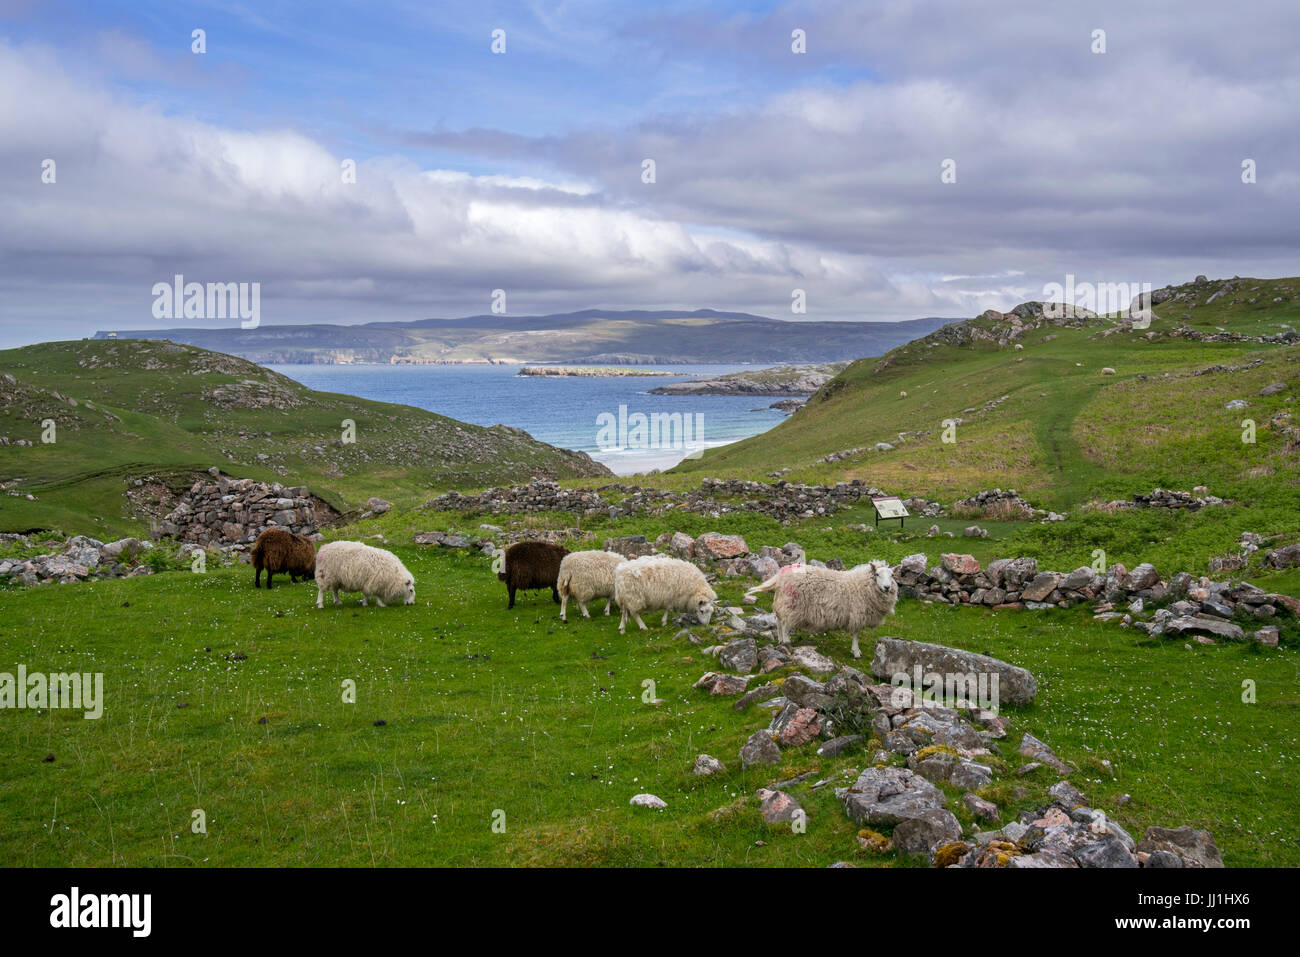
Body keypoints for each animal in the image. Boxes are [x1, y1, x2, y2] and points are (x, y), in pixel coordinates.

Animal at [748, 561, 899, 657]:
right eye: (877, 574)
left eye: (892, 575)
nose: (887, 587)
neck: (863, 584)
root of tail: (782, 574)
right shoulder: (857, 614)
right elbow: (856, 634)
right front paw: (856, 652)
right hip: (792, 604)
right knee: (785, 624)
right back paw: (786, 642)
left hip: (783, 602)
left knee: (779, 620)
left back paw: (780, 641)